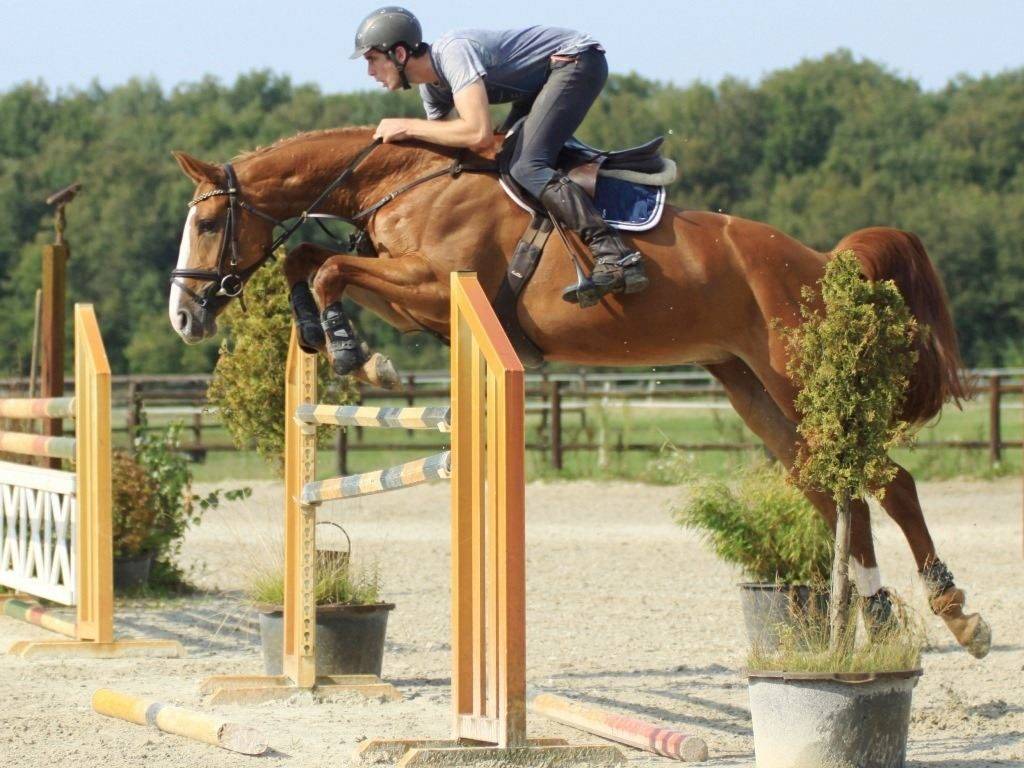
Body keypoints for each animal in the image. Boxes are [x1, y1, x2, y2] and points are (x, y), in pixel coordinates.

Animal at [169, 126, 989, 658]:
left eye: (207, 222)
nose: (184, 317)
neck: (402, 183)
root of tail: (821, 263)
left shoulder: (435, 287)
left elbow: (332, 266)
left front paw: (357, 356)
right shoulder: (415, 297)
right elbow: (307, 259)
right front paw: (330, 340)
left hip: (797, 375)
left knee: (888, 479)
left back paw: (956, 614)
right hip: (750, 387)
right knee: (831, 490)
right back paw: (877, 623)